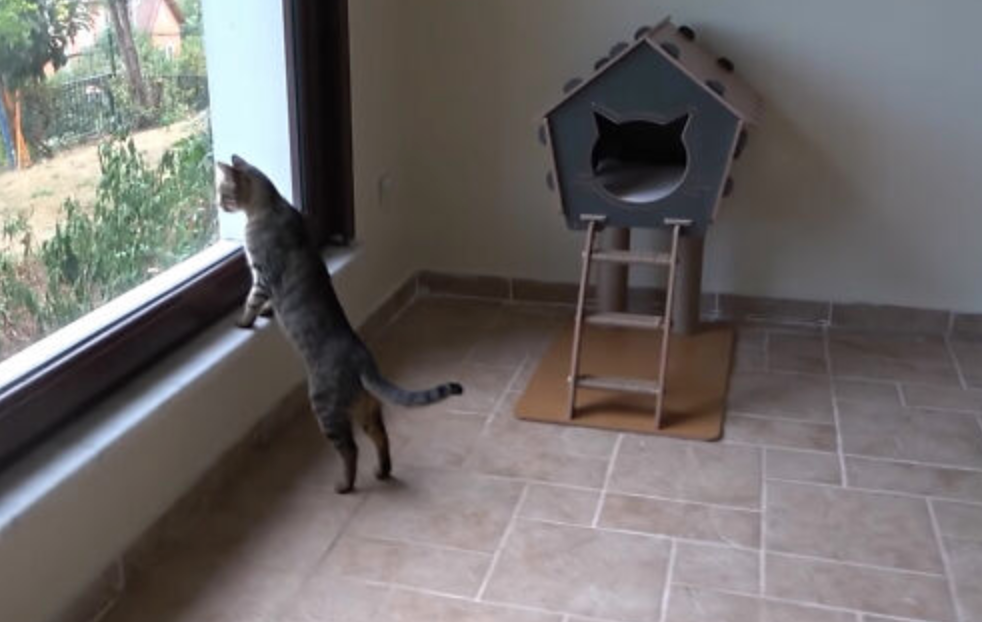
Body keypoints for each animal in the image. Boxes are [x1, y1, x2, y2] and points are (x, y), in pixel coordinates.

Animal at [217, 157, 464, 498]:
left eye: (223, 192)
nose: (217, 204)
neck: (270, 208)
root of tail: (364, 361)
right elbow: (264, 305)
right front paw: (265, 314)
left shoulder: (262, 275)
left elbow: (251, 302)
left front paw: (242, 323)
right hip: (367, 409)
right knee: (382, 438)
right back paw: (382, 472)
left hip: (326, 409)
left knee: (350, 449)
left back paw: (344, 486)